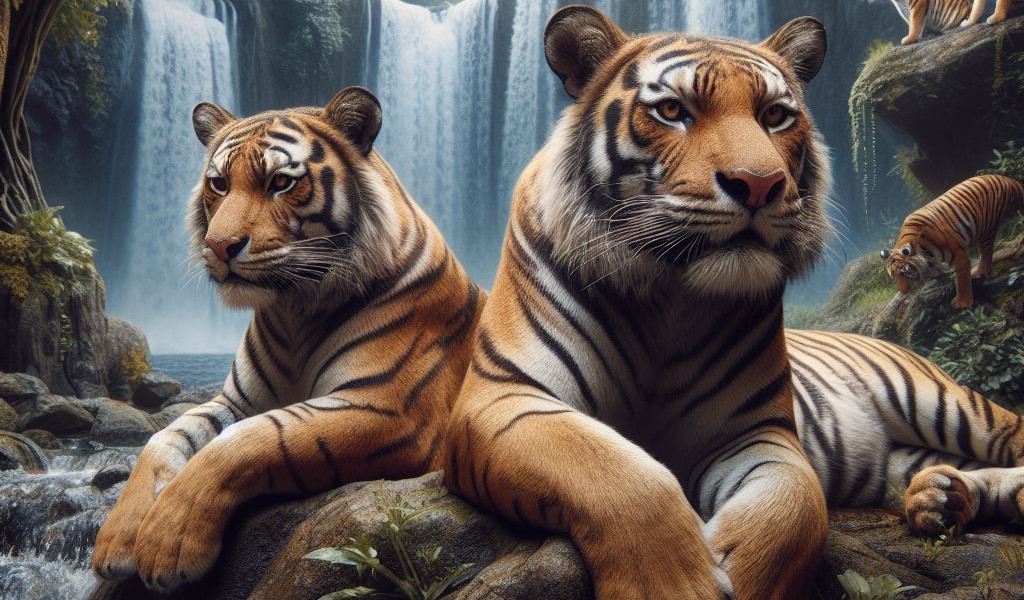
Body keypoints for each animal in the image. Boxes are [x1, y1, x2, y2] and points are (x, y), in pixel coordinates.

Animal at [90, 87, 484, 591]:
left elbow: (250, 438)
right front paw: (117, 539)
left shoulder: (388, 407)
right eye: (219, 184)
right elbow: (164, 437)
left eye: (279, 182)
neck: (296, 307)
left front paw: (166, 541)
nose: (219, 246)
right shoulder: (236, 399)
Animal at [881, 174, 1023, 309]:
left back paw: (980, 272)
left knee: (987, 253)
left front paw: (963, 304)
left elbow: (961, 281)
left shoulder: (960, 257)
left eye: (904, 272)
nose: (903, 291)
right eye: (893, 276)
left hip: (985, 229)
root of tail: (1009, 180)